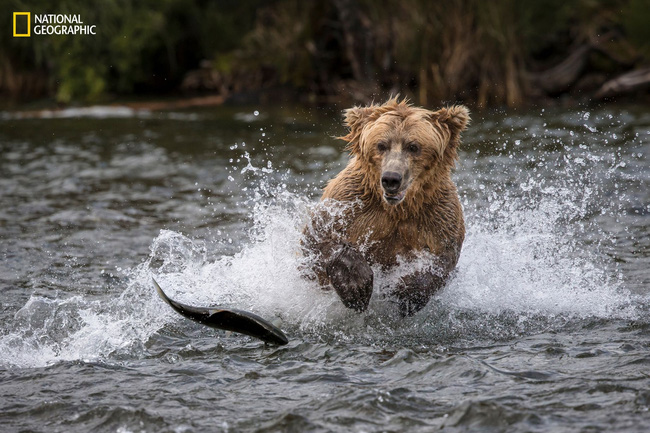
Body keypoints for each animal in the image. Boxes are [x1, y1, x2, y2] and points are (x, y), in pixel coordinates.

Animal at [302, 97, 468, 314]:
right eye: (381, 145)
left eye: (413, 146)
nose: (391, 178)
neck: (396, 209)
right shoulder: (349, 203)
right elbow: (317, 241)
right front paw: (357, 287)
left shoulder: (437, 214)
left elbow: (443, 257)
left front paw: (407, 292)